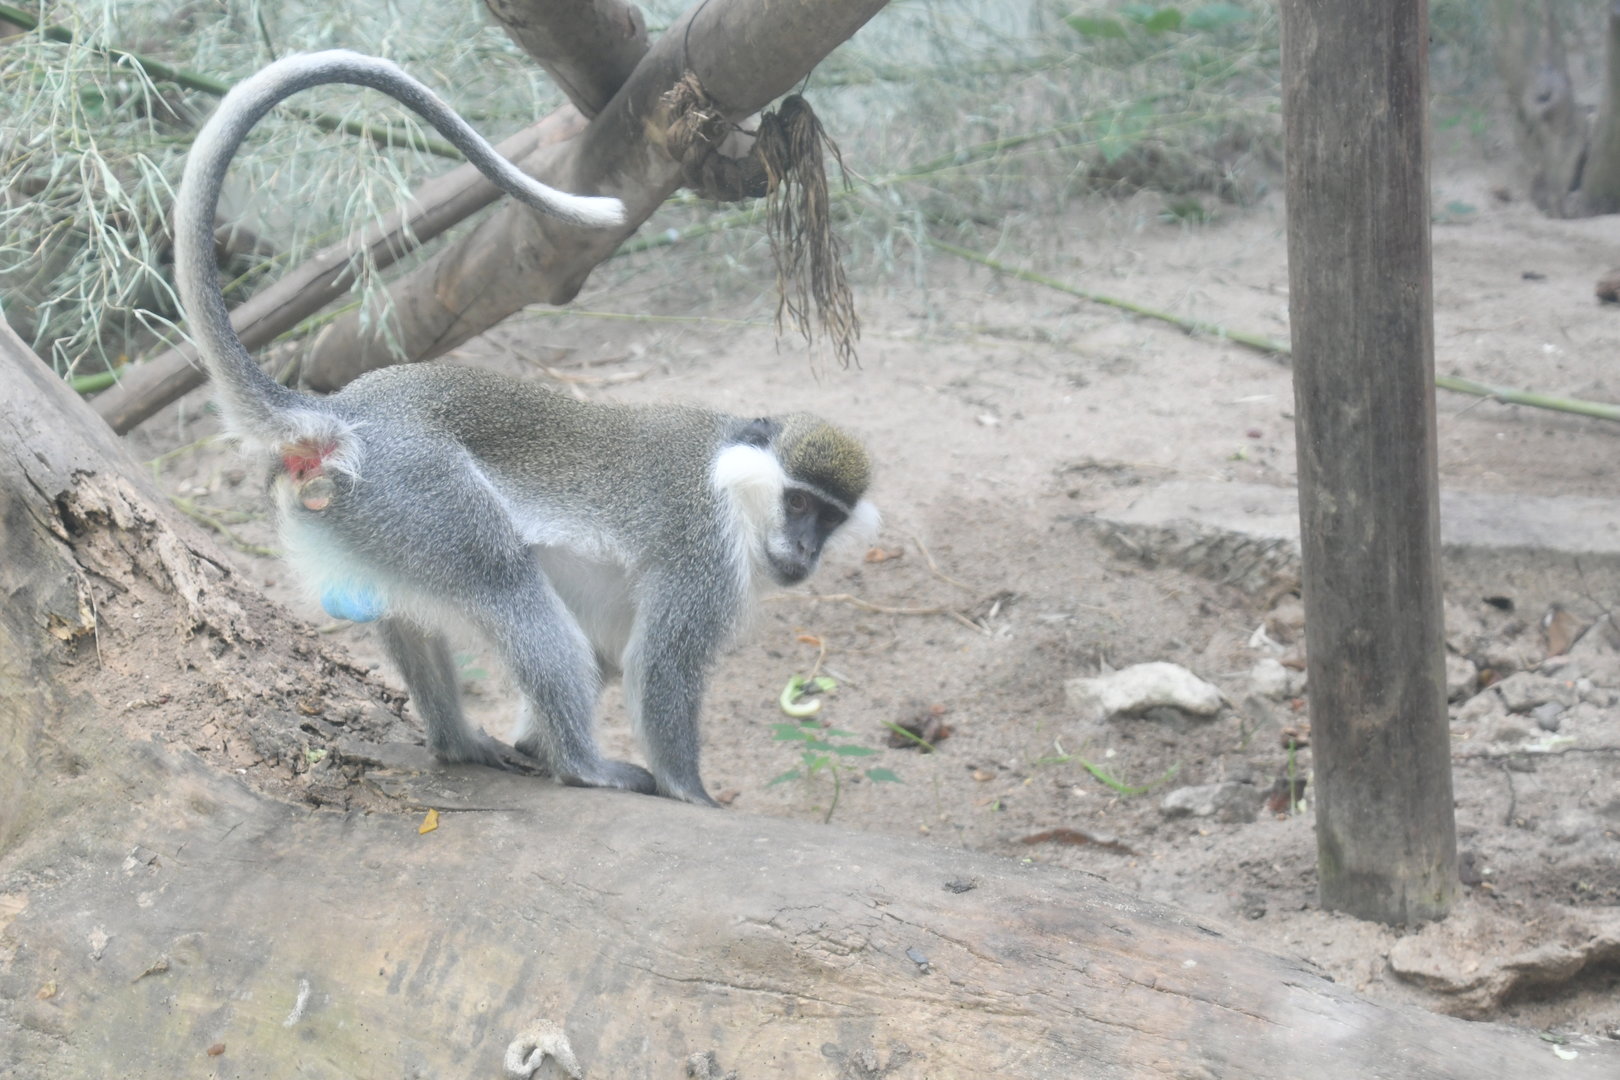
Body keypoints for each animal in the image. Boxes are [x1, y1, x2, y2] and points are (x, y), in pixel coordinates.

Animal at [173, 51, 877, 806]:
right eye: (797, 504)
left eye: (829, 519)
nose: (804, 551)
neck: (735, 482)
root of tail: (344, 414)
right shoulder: (702, 559)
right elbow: (660, 672)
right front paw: (693, 794)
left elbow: (610, 655)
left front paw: (532, 741)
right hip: (421, 492)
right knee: (505, 584)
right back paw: (582, 764)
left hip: (370, 518)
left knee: (415, 613)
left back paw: (459, 742)